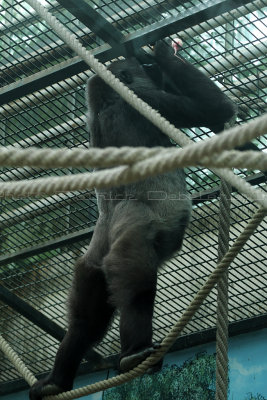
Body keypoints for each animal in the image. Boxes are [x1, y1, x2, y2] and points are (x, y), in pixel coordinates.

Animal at [29, 41, 237, 400]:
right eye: (147, 70)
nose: (153, 68)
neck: (108, 98)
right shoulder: (146, 98)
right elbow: (216, 109)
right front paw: (165, 55)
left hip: (90, 262)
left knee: (86, 318)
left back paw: (57, 377)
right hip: (137, 237)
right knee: (136, 281)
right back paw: (136, 352)